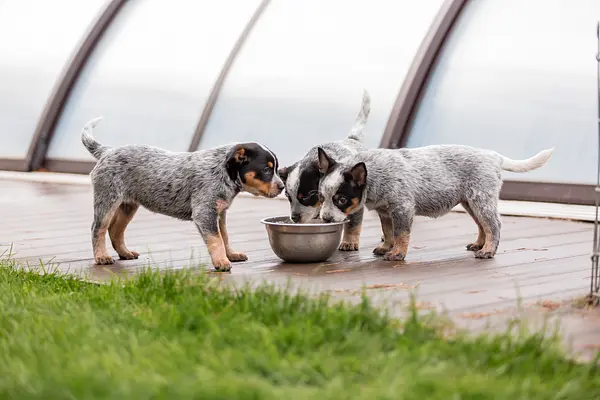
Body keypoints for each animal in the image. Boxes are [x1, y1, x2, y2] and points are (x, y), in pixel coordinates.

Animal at [316, 145, 556, 260]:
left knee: (494, 225)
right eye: (321, 197)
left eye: (341, 199)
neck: (376, 173)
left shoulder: (403, 208)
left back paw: (488, 250)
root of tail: (494, 156)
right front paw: (386, 247)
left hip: (481, 199)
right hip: (471, 202)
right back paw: (479, 244)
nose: (325, 219)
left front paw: (397, 254)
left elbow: (401, 234)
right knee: (482, 225)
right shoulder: (386, 211)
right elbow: (388, 231)